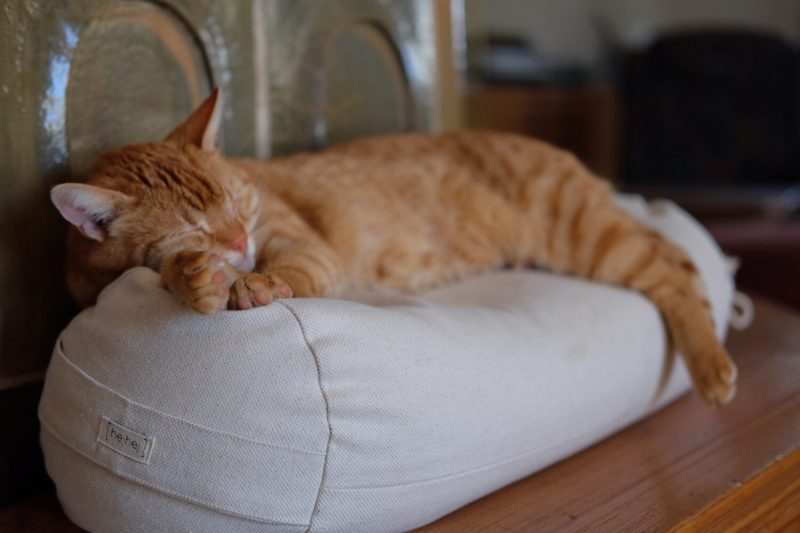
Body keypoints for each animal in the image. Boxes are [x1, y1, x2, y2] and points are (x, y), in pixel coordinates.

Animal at [51, 88, 736, 404]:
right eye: (197, 227)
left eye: (240, 206)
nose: (241, 243)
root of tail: (558, 150)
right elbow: (170, 270)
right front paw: (198, 276)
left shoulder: (303, 244)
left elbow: (291, 268)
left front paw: (257, 283)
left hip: (590, 235)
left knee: (677, 268)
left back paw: (713, 368)